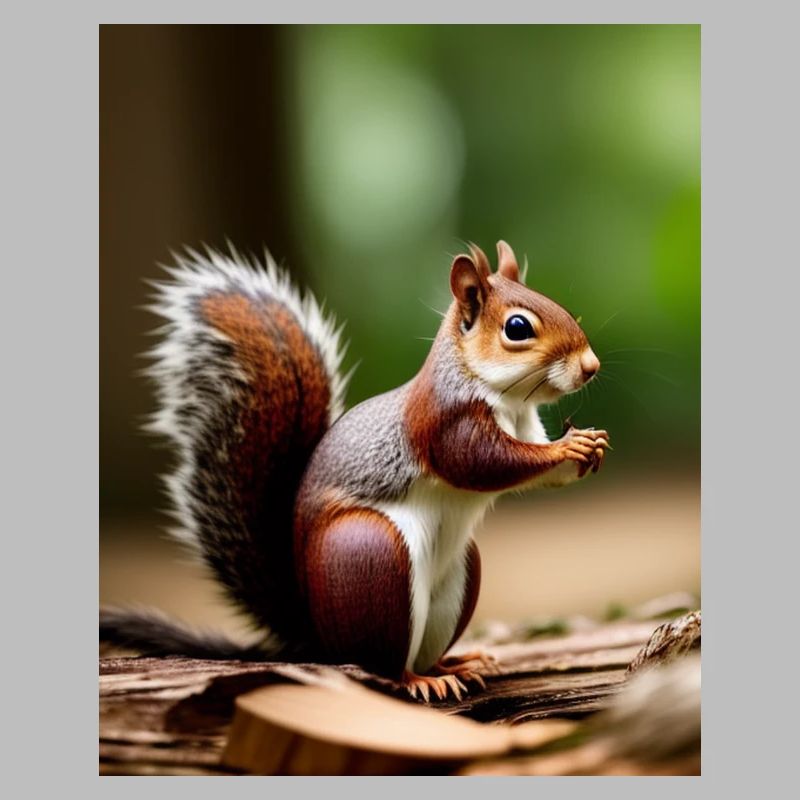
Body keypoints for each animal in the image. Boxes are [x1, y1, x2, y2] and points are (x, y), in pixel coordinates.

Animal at [100, 240, 609, 701]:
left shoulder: (525, 424)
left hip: (458, 573)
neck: (506, 400)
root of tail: (316, 637)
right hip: (373, 556)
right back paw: (421, 680)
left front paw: (589, 447)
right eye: (517, 327)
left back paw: (457, 663)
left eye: (561, 306)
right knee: (381, 663)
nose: (591, 366)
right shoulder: (446, 423)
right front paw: (569, 448)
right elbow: (483, 463)